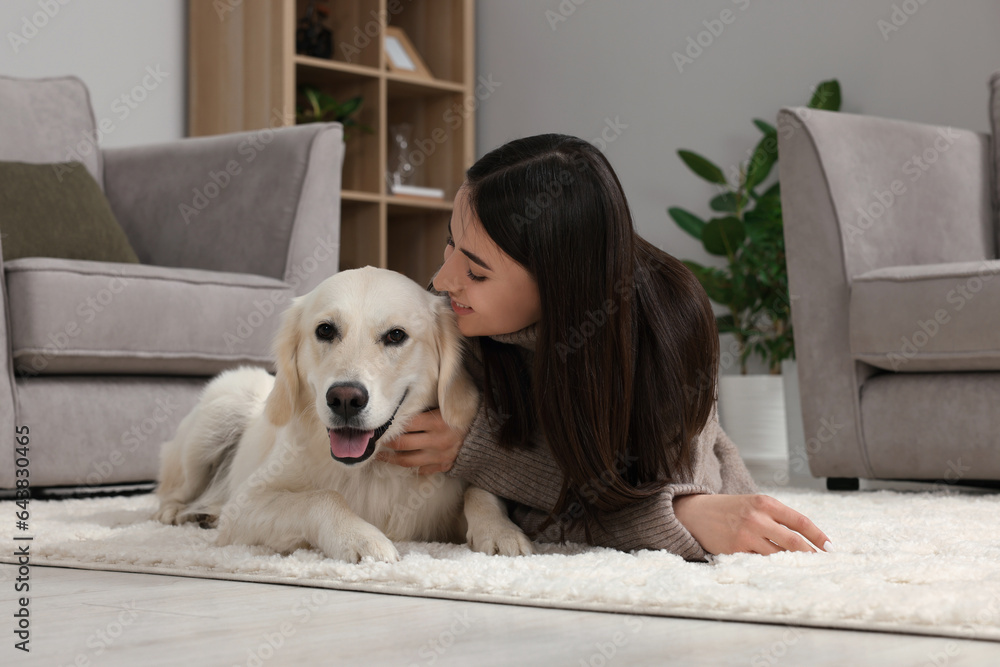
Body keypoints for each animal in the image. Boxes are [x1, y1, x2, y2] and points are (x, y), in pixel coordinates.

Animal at [153, 266, 536, 564]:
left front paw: (501, 531)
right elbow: (323, 497)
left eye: (396, 335)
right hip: (222, 409)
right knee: (174, 487)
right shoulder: (245, 505)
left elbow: (481, 491)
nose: (345, 399)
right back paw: (175, 511)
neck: (373, 468)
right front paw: (361, 537)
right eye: (325, 330)